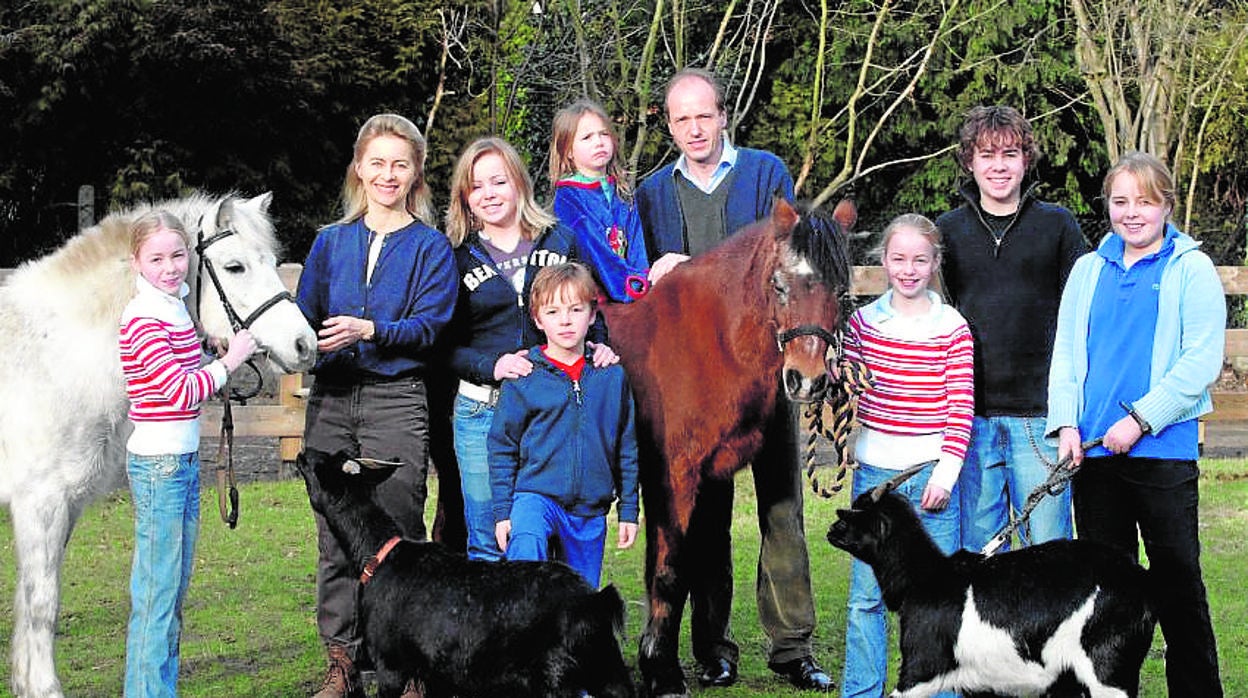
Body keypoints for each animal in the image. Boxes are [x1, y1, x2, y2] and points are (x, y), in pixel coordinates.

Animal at [0, 192, 316, 698]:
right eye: (235, 266)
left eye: (271, 261)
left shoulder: (63, 505)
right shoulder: (40, 501)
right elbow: (41, 603)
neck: (55, 356)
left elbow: (37, 600)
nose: (305, 344)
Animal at [292, 447, 633, 698]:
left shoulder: (390, 664)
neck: (378, 554)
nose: (303, 453)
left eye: (322, 466)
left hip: (557, 678)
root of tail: (595, 601)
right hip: (609, 671)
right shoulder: (434, 671)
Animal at [599, 198, 853, 698]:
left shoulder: (704, 476)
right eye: (779, 285)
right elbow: (669, 571)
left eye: (840, 289)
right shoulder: (672, 476)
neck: (706, 343)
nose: (807, 379)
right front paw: (662, 671)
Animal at [823, 464, 1153, 698]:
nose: (830, 530)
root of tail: (1139, 577)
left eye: (855, 514)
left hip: (1106, 673)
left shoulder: (920, 670)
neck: (928, 577)